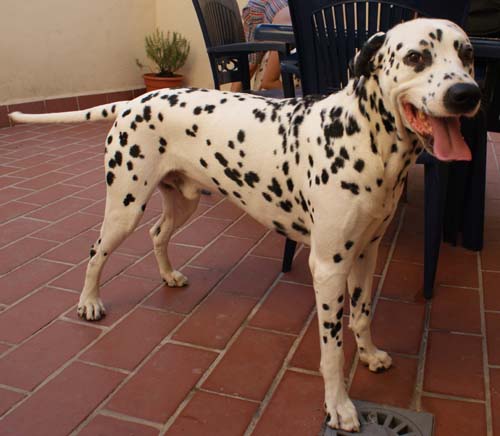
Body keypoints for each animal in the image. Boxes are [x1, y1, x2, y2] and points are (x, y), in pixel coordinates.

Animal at [10, 18, 480, 432]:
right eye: (417, 57)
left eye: (467, 53)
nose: (466, 94)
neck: (362, 137)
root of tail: (134, 101)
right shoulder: (328, 268)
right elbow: (331, 350)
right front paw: (339, 405)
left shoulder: (366, 253)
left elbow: (362, 317)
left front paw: (369, 354)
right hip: (124, 207)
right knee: (95, 252)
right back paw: (89, 302)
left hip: (182, 203)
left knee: (157, 235)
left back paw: (168, 275)